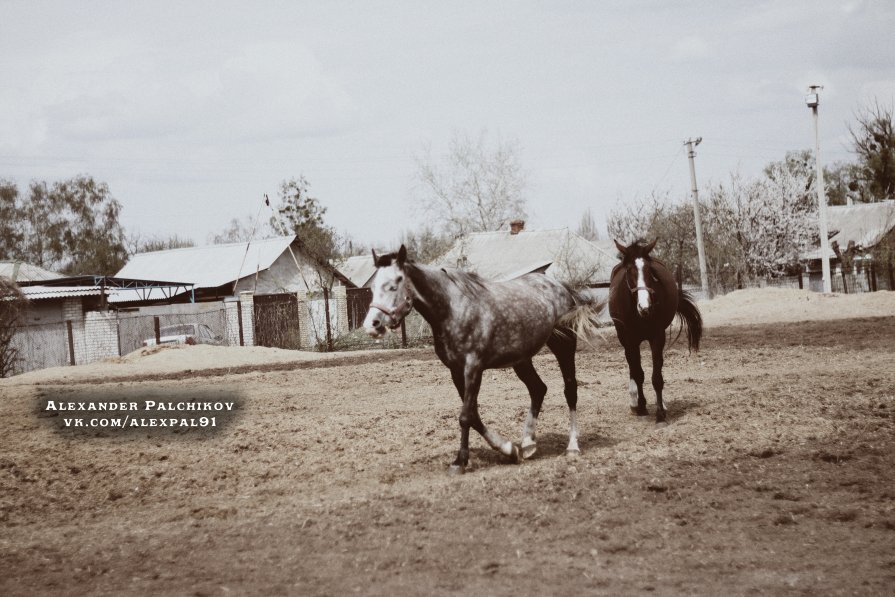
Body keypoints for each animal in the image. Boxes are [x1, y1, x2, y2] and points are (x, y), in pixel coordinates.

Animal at [366, 244, 608, 472]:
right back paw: (528, 444)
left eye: (393, 285)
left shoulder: (474, 368)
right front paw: (510, 450)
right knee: (538, 389)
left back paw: (572, 447)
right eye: (372, 287)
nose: (372, 325)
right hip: (521, 359)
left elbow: (465, 416)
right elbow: (473, 414)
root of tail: (562, 287)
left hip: (563, 346)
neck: (453, 310)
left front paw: (460, 462)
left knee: (570, 389)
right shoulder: (456, 371)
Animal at [604, 237, 704, 424]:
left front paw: (660, 413)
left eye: (649, 270)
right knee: (632, 367)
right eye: (629, 270)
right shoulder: (630, 340)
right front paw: (642, 406)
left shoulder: (657, 337)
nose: (645, 306)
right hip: (624, 340)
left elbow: (657, 377)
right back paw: (634, 403)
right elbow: (638, 373)